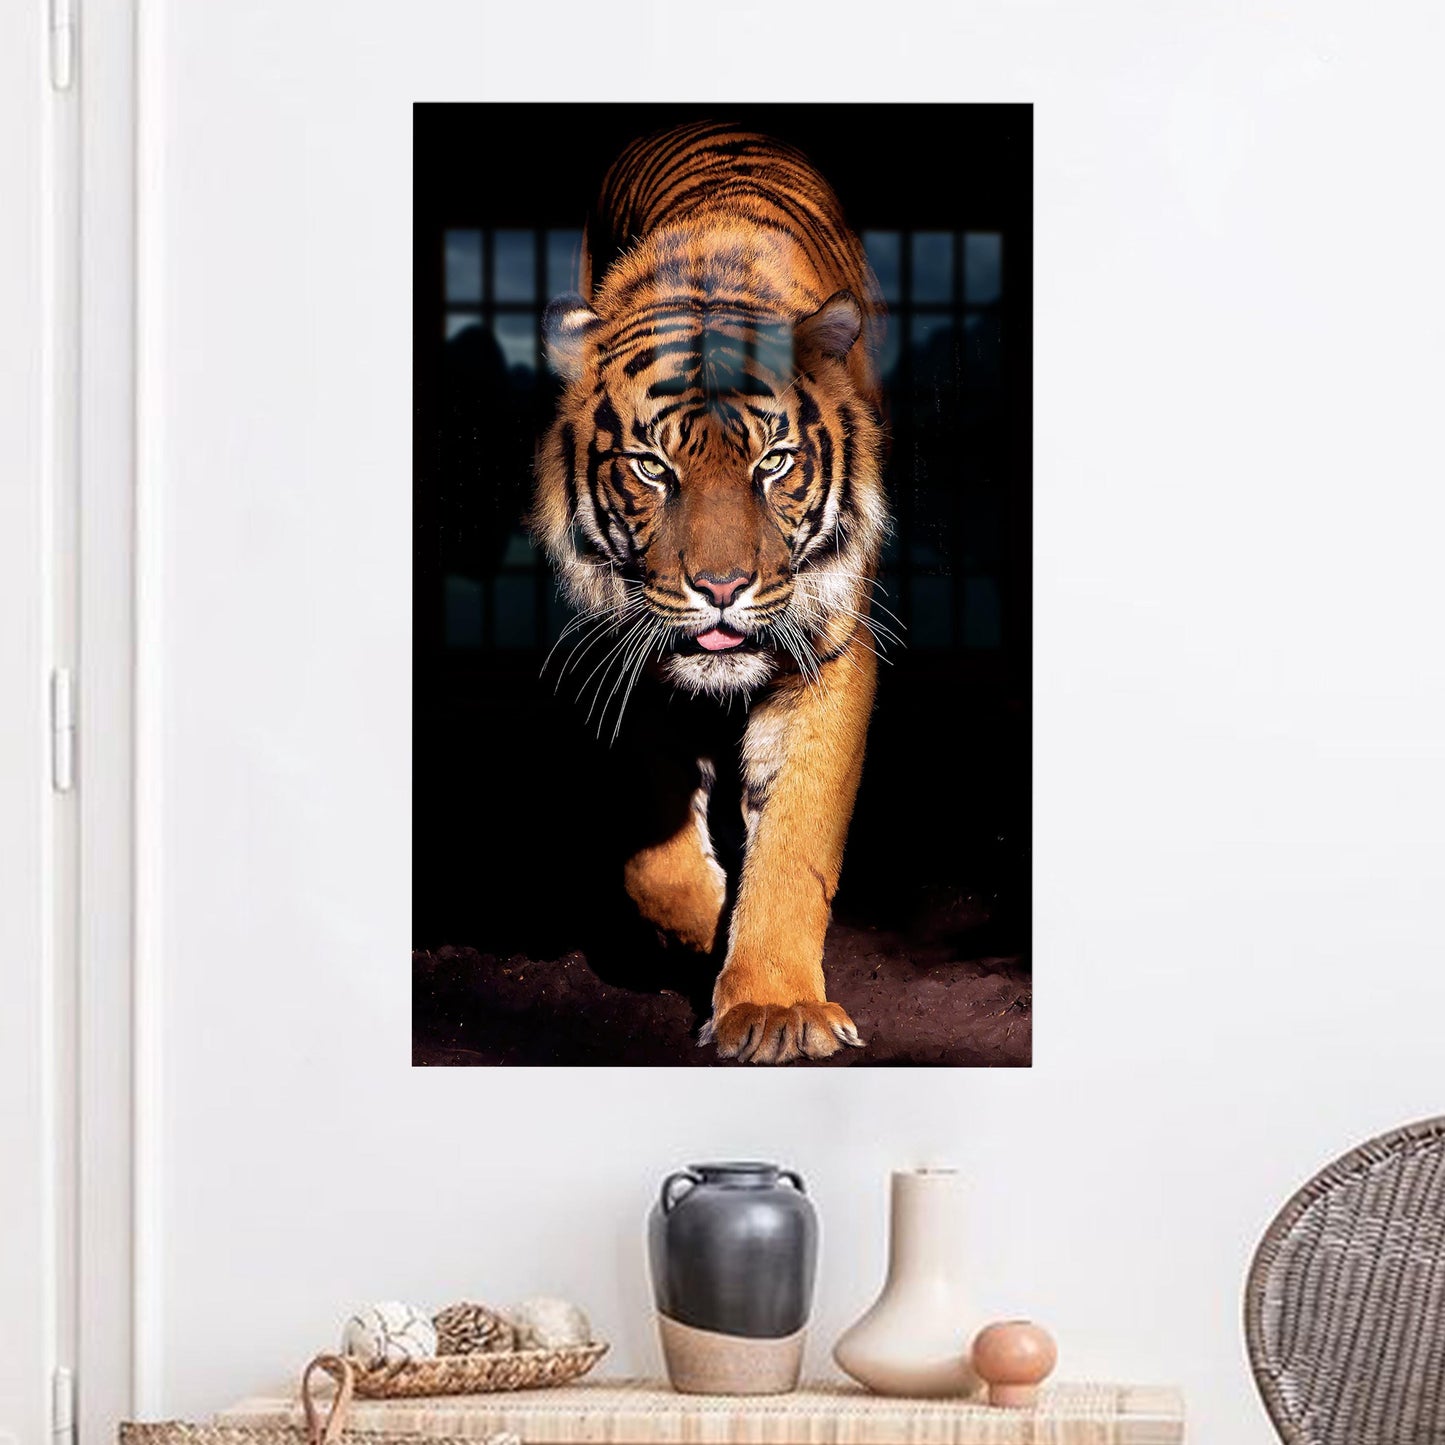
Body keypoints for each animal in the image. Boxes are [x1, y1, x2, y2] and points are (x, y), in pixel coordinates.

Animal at [530, 120, 893, 1064]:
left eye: (774, 462)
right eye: (653, 468)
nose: (722, 587)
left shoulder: (828, 652)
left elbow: (795, 840)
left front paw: (774, 1008)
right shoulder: (629, 648)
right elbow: (651, 851)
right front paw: (700, 930)